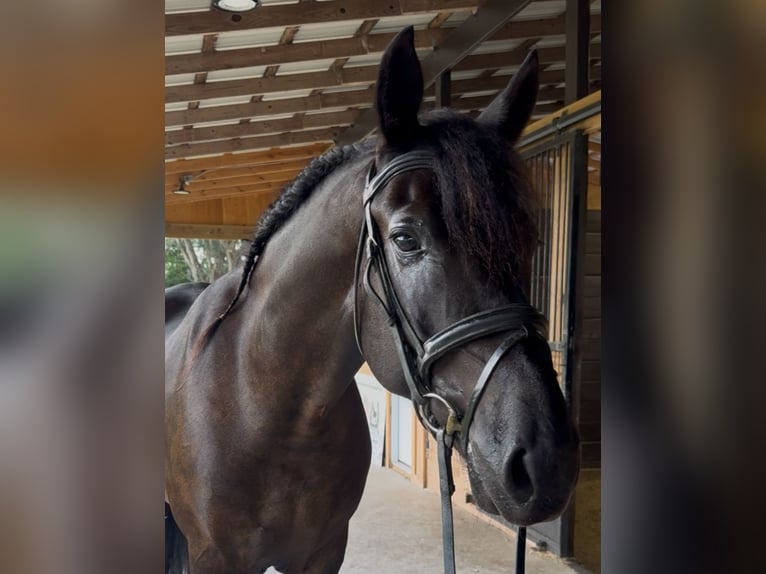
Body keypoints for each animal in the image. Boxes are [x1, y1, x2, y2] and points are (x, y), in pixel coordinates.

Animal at [165, 26, 580, 574]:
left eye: (529, 241)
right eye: (405, 239)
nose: (547, 460)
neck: (264, 407)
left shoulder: (323, 553)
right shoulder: (214, 557)